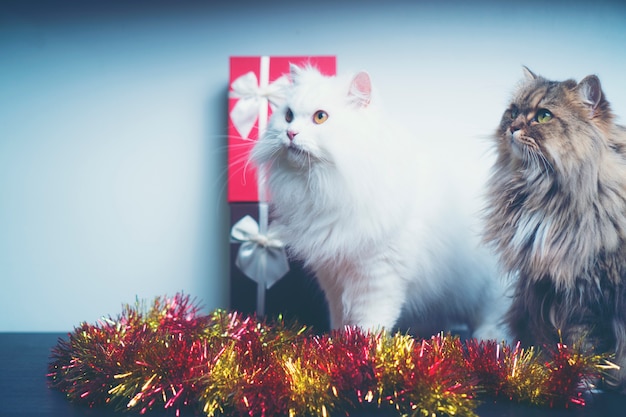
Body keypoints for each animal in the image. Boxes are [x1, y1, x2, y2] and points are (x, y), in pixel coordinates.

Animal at [249, 64, 508, 338]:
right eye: (288, 115)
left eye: (320, 117)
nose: (290, 133)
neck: (326, 187)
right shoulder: (333, 277)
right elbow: (339, 319)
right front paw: (335, 343)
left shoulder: (379, 276)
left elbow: (370, 322)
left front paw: (364, 345)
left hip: (489, 291)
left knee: (495, 320)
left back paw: (488, 340)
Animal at [482, 67, 624, 390]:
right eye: (513, 112)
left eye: (544, 116)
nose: (513, 128)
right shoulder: (548, 287)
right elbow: (560, 343)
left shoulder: (592, 292)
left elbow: (588, 347)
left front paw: (583, 383)